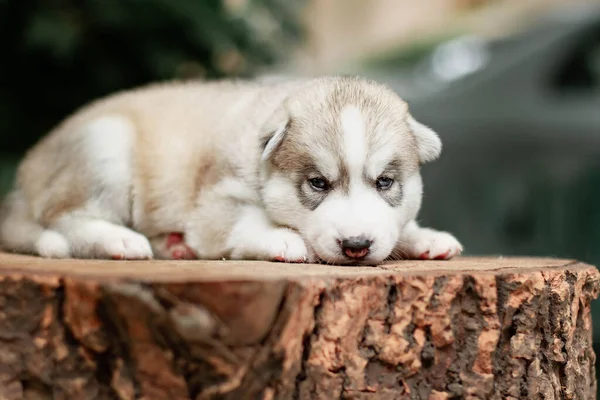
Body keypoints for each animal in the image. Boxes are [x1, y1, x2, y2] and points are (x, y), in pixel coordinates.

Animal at [0, 76, 464, 264]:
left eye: (385, 182)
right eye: (317, 183)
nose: (356, 246)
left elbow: (400, 224)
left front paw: (425, 237)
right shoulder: (215, 203)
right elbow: (244, 221)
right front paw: (283, 238)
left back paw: (173, 245)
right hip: (105, 147)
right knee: (65, 218)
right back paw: (119, 240)